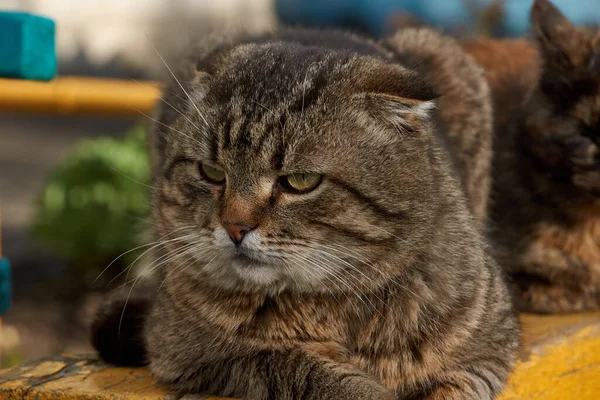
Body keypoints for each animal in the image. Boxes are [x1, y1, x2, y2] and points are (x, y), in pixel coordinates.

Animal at [91, 26, 516, 398]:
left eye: (300, 181)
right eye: (212, 172)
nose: (234, 227)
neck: (327, 306)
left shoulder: (488, 351)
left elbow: (459, 386)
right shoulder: (186, 351)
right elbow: (306, 369)